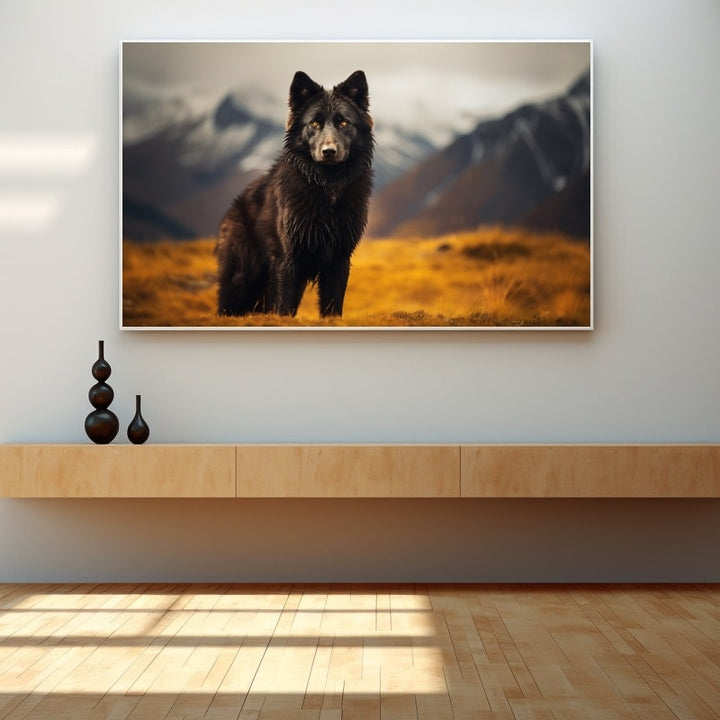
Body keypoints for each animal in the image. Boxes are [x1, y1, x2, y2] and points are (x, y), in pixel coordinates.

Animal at [216, 70, 374, 317]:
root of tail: (235, 204)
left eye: (344, 122)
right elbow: (282, 307)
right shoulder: (287, 260)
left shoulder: (339, 260)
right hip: (242, 280)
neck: (328, 188)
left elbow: (332, 306)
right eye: (315, 123)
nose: (329, 151)